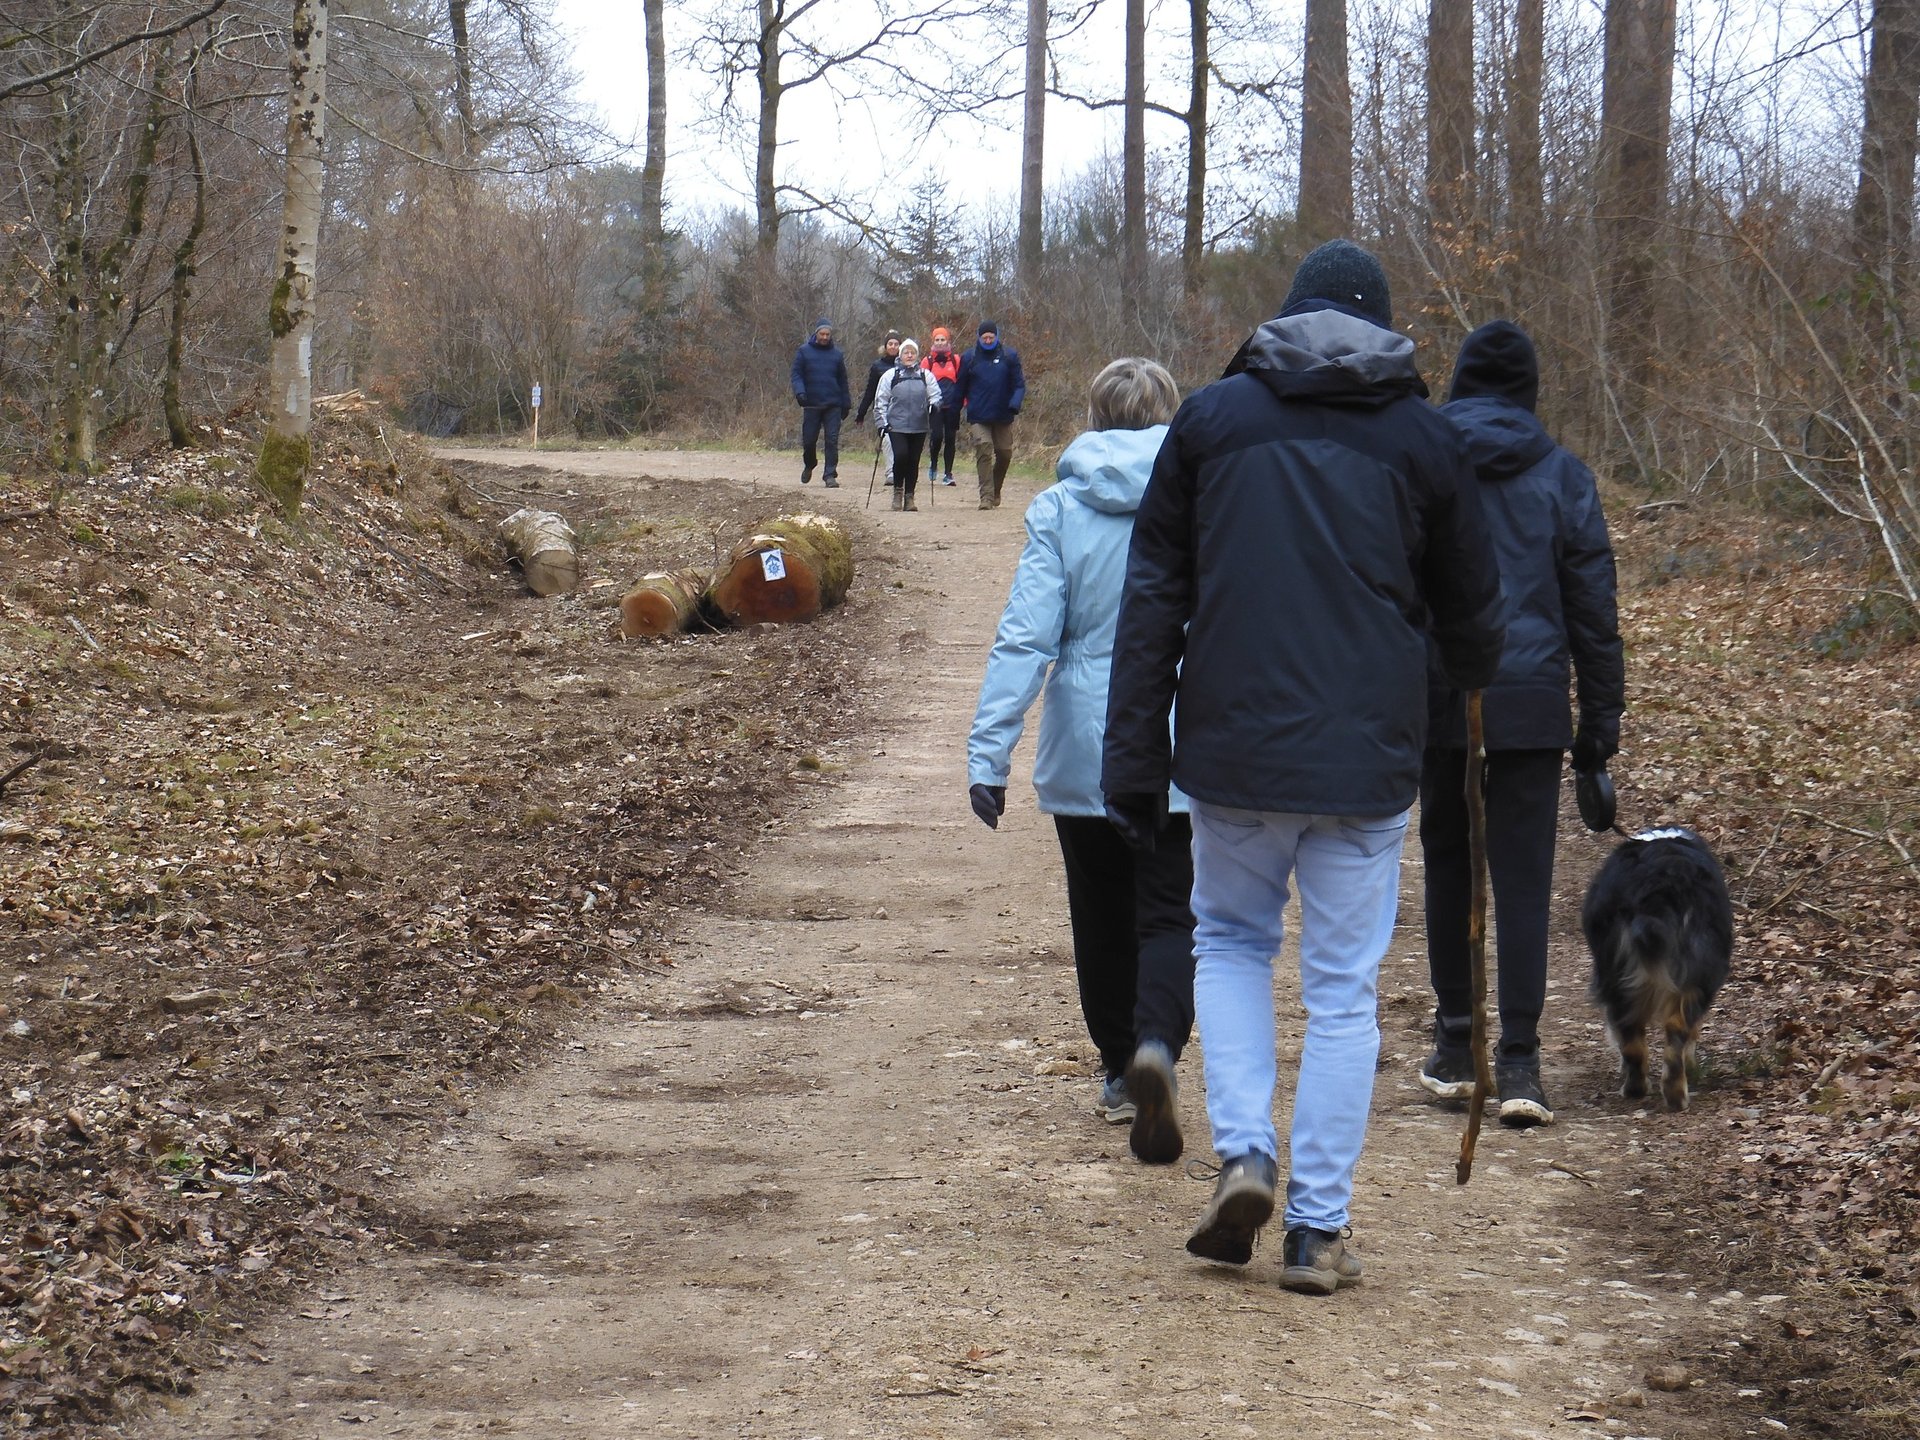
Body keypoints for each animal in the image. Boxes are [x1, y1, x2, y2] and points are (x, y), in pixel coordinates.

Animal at [1582, 829, 1735, 1113]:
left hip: (1615, 974)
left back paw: (1643, 1089)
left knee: (1635, 1036)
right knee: (1672, 1029)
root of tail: (1660, 883)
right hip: (1693, 975)